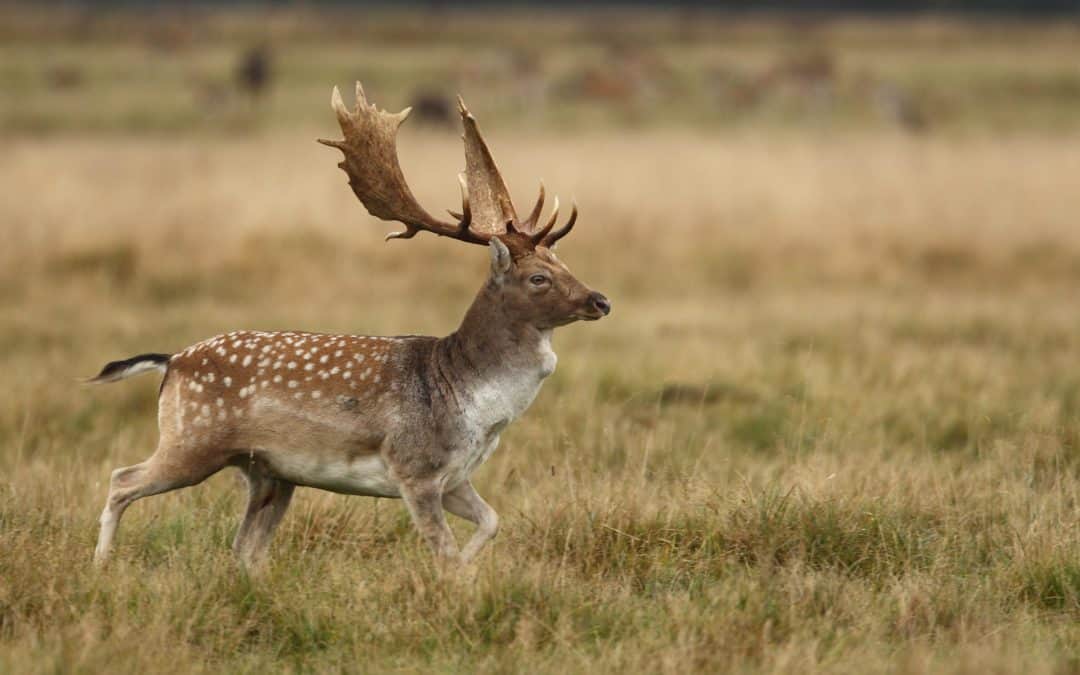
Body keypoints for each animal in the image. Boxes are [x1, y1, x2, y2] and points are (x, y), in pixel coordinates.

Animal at [88, 83, 613, 570]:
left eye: (563, 262)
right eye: (538, 277)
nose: (600, 300)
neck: (472, 405)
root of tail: (170, 362)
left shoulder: (456, 477)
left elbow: (492, 521)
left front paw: (470, 570)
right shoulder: (414, 468)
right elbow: (443, 552)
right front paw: (457, 583)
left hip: (268, 472)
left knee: (244, 548)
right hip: (193, 441)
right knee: (121, 480)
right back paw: (100, 565)